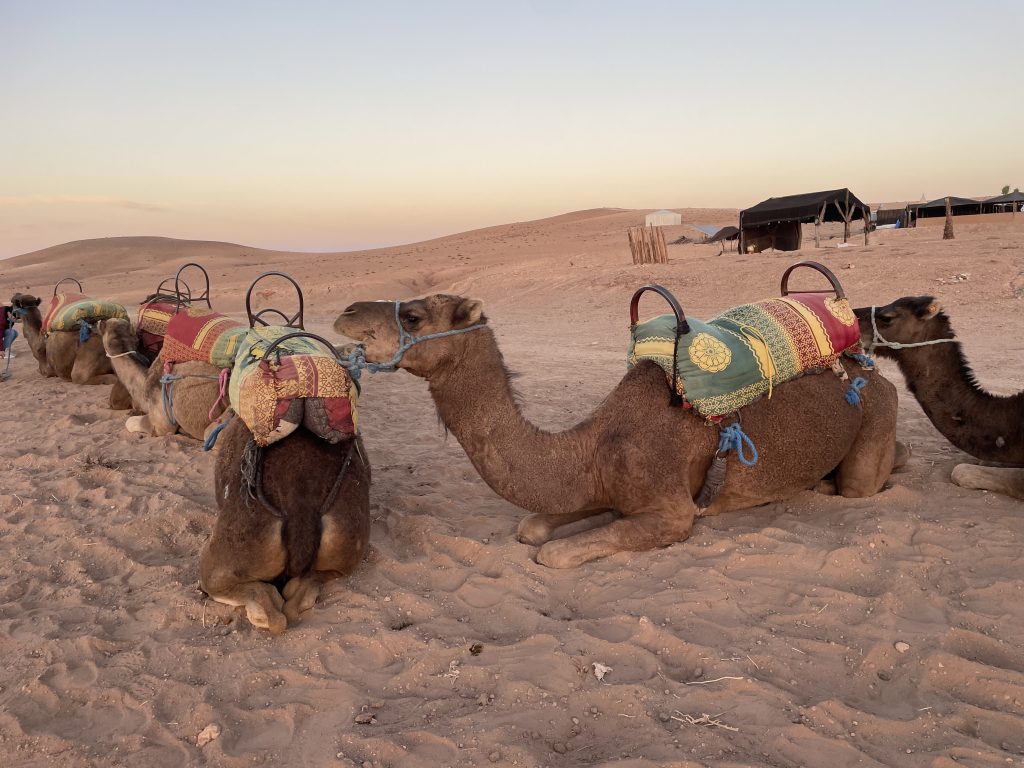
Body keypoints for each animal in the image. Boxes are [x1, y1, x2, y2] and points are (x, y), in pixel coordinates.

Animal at [334, 294, 899, 568]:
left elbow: (553, 553)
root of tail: (867, 368)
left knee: (865, 481)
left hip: (877, 416)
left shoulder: (673, 513)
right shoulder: (598, 486)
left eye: (412, 315)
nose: (345, 314)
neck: (592, 443)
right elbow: (533, 528)